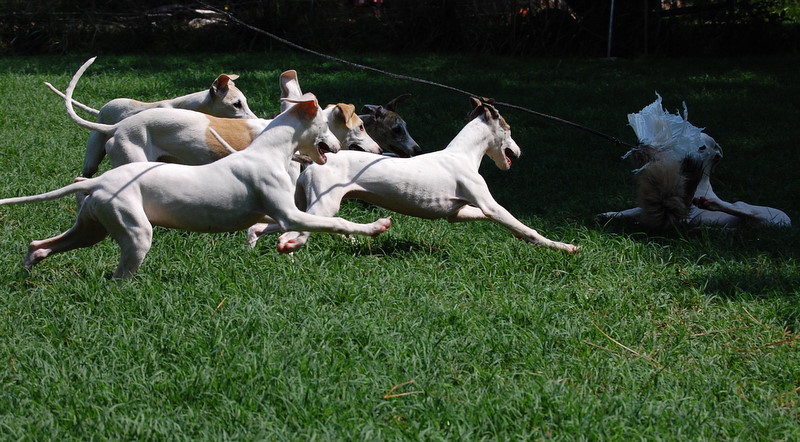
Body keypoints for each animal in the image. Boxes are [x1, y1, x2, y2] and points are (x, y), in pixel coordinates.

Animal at [248, 97, 579, 254]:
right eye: (509, 129)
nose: (519, 152)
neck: (462, 154)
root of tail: (315, 163)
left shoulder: (457, 213)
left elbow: (477, 217)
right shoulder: (490, 204)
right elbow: (526, 228)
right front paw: (565, 247)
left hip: (307, 206)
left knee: (264, 227)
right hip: (324, 206)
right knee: (292, 233)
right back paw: (290, 250)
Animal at [599, 95, 791, 229]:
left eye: (702, 147)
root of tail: (787, 223)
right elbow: (633, 210)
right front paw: (609, 214)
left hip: (749, 208)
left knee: (747, 211)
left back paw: (710, 204)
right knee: (746, 217)